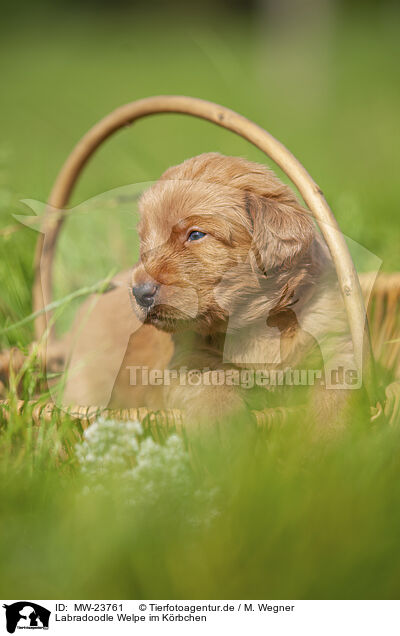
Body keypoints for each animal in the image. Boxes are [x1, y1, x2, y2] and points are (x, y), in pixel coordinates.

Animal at [58, 152, 356, 424]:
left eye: (196, 235)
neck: (256, 326)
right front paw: (223, 431)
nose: (140, 293)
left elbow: (338, 383)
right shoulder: (187, 361)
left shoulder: (334, 341)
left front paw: (330, 432)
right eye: (144, 241)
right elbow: (212, 383)